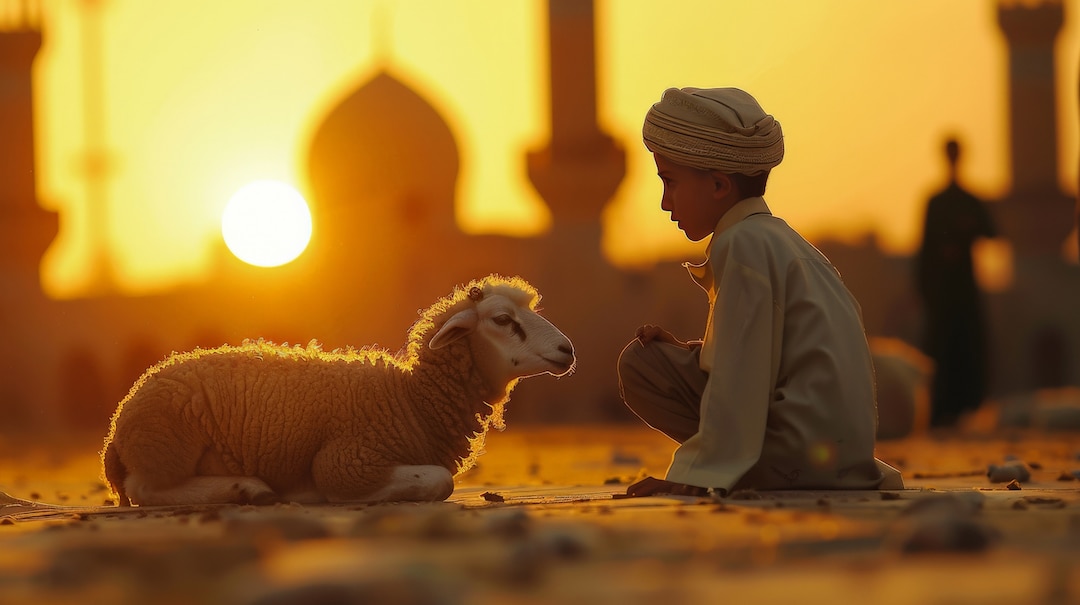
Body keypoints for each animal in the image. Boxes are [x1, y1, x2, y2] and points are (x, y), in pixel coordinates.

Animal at [100, 275, 574, 505]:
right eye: (502, 319)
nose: (567, 350)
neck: (410, 399)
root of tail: (117, 425)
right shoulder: (347, 460)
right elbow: (439, 481)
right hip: (166, 447)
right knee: (146, 491)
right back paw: (248, 490)